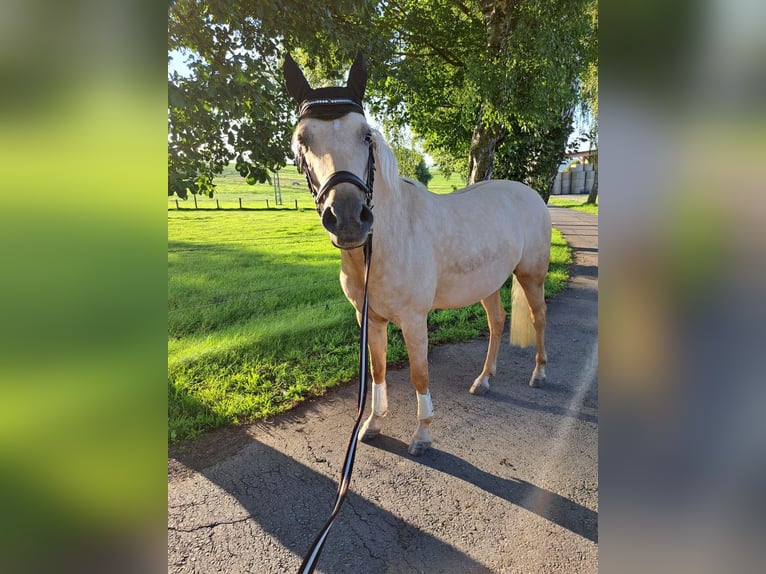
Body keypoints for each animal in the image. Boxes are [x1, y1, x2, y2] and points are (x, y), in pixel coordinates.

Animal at [284, 55, 552, 460]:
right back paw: (483, 380)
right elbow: (378, 371)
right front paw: (372, 424)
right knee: (497, 322)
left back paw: (538, 374)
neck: (388, 242)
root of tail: (530, 194)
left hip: (531, 276)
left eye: (366, 135)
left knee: (538, 318)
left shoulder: (413, 319)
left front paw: (422, 433)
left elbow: (419, 373)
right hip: (488, 283)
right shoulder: (369, 318)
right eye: (302, 140)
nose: (347, 218)